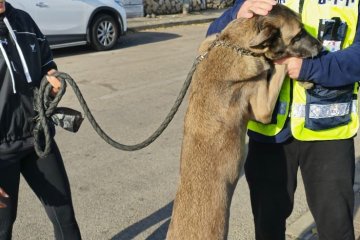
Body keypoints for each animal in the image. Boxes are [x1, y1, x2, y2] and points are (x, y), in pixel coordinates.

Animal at [167, 4, 322, 240]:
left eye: (304, 28)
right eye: (297, 35)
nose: (321, 46)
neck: (236, 45)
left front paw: (304, 79)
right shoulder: (262, 108)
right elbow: (280, 66)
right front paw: (293, 70)